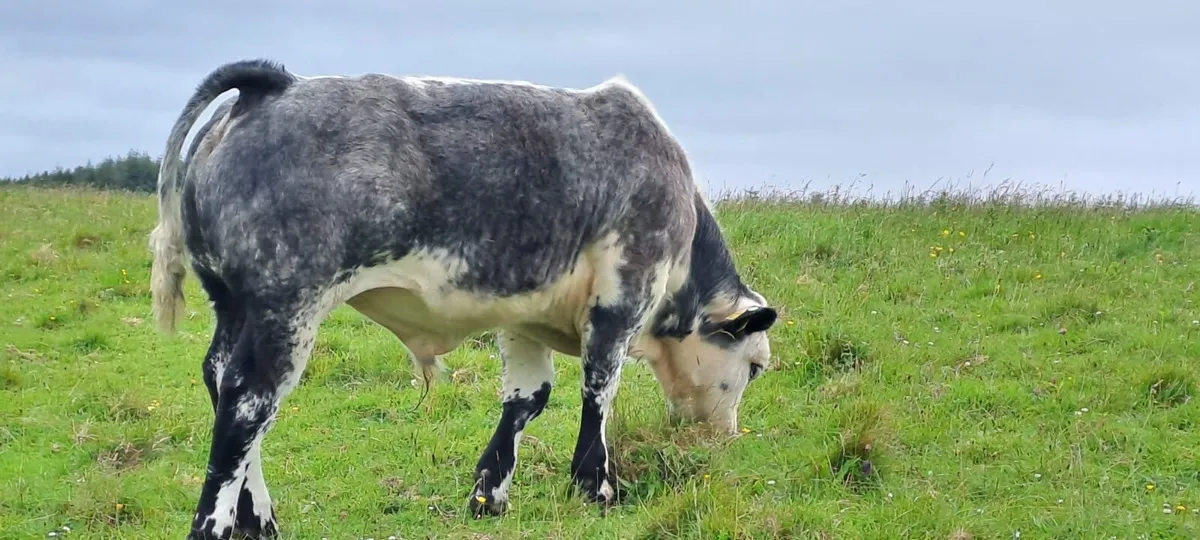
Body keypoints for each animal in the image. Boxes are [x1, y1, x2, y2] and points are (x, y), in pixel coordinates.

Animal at [149, 58, 778, 540]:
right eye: (753, 367)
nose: (724, 439)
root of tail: (274, 86)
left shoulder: (524, 314)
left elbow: (527, 400)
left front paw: (489, 494)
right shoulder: (622, 297)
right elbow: (599, 392)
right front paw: (595, 487)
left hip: (234, 305)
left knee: (219, 379)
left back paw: (260, 519)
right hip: (286, 309)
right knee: (246, 404)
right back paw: (216, 524)